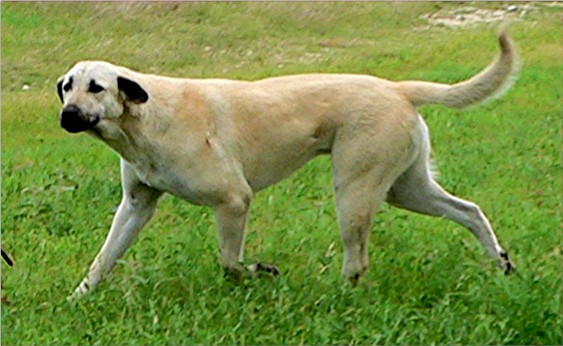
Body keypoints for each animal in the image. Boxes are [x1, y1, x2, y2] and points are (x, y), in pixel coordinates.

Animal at [59, 29, 516, 298]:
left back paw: (339, 296)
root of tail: (397, 88)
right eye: (66, 86)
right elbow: (103, 259)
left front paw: (260, 271)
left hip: (354, 192)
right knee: (470, 211)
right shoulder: (136, 207)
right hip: (407, 189)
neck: (145, 119)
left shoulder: (234, 201)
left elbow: (230, 262)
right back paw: (501, 262)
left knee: (357, 260)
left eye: (96, 87)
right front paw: (79, 298)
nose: (66, 116)